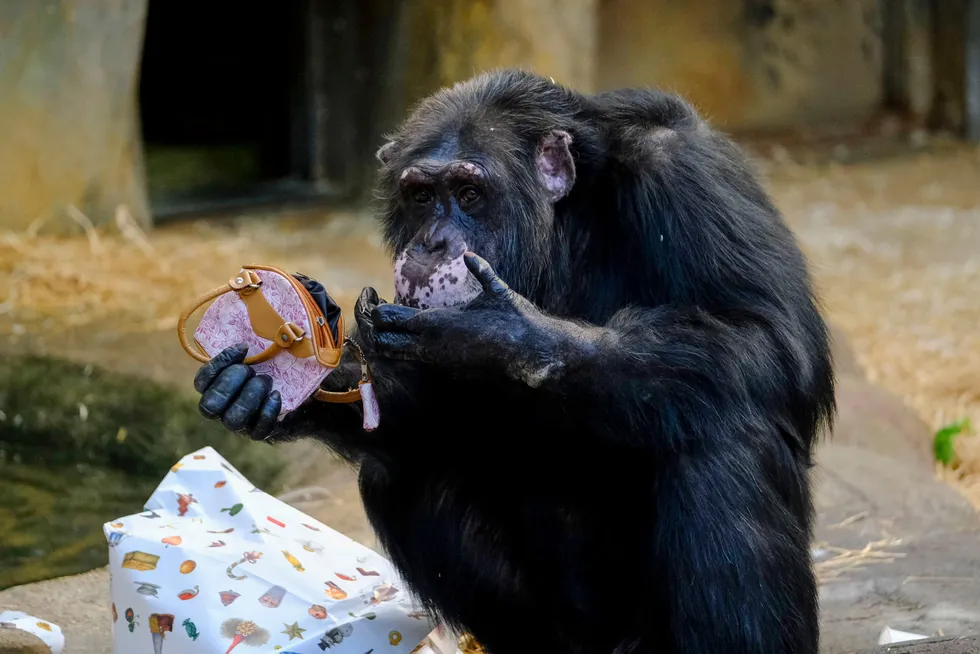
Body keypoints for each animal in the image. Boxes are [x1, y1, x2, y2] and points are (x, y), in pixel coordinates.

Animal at [195, 69, 840, 652]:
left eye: (469, 194)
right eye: (421, 196)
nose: (431, 243)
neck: (565, 227)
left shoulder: (688, 174)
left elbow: (767, 338)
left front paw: (498, 333)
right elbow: (419, 402)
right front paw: (281, 383)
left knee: (720, 444)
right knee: (396, 469)